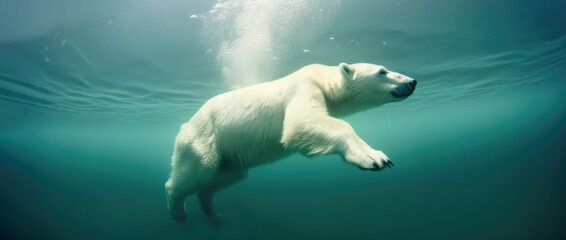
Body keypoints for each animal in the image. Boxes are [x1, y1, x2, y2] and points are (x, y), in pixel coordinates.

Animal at [164, 62, 418, 222]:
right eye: (382, 71)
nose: (413, 81)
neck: (322, 78)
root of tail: (185, 126)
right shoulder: (304, 87)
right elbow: (301, 120)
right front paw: (375, 157)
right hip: (205, 137)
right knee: (197, 173)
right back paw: (177, 210)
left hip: (230, 155)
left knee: (225, 178)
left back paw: (214, 214)